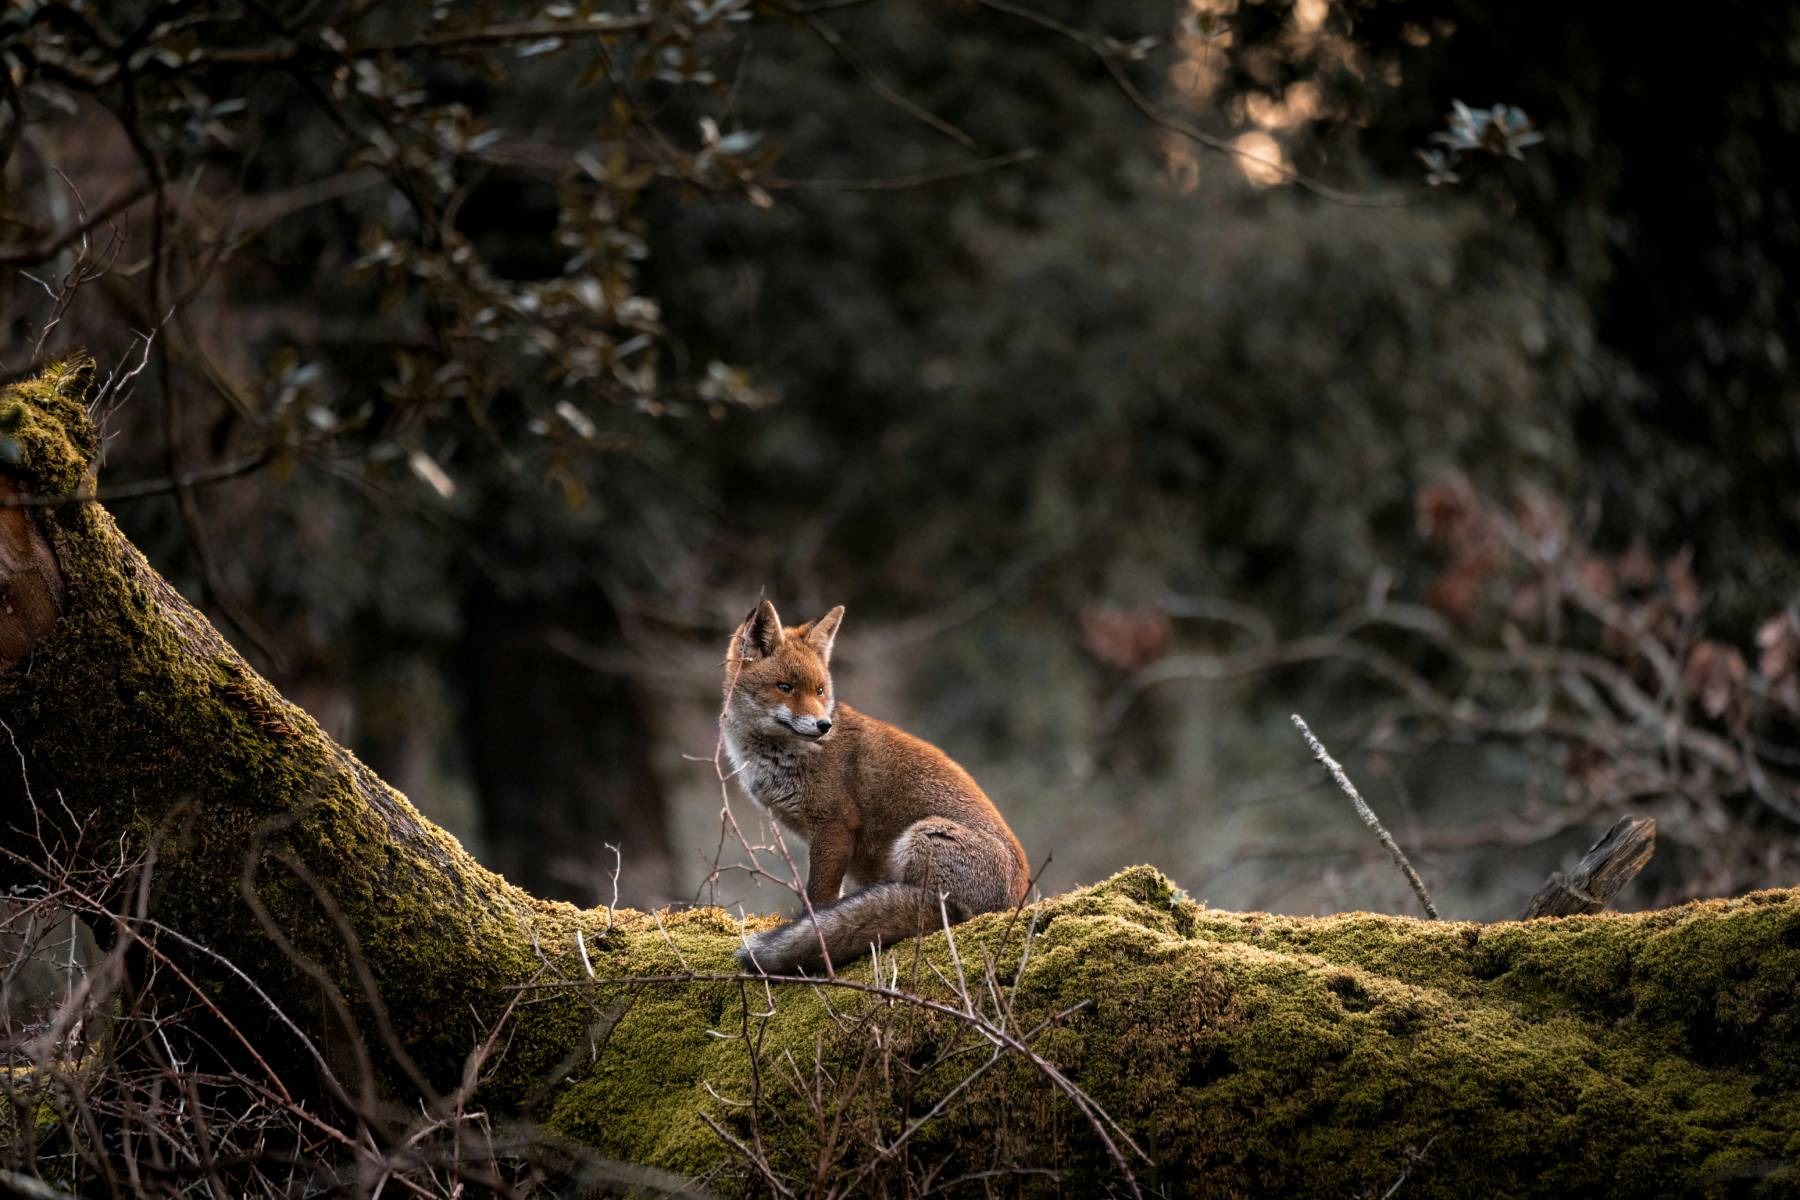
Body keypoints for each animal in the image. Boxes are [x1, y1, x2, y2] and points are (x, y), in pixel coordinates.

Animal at [723, 600, 1030, 974]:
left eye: (820, 691)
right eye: (785, 687)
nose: (823, 725)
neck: (779, 757)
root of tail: (1014, 902)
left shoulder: (835, 826)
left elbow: (819, 900)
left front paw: (812, 934)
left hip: (924, 837)